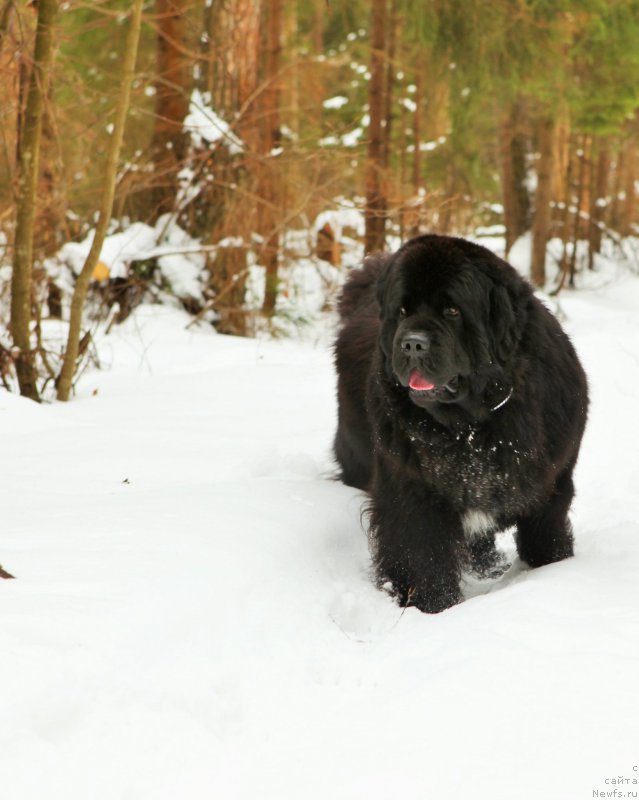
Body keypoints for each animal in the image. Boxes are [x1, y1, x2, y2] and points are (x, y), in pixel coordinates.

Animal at [336, 234, 592, 616]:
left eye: (452, 311)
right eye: (402, 311)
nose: (412, 343)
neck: (470, 427)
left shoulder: (552, 481)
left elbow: (545, 537)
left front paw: (552, 571)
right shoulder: (413, 494)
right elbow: (423, 557)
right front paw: (432, 609)